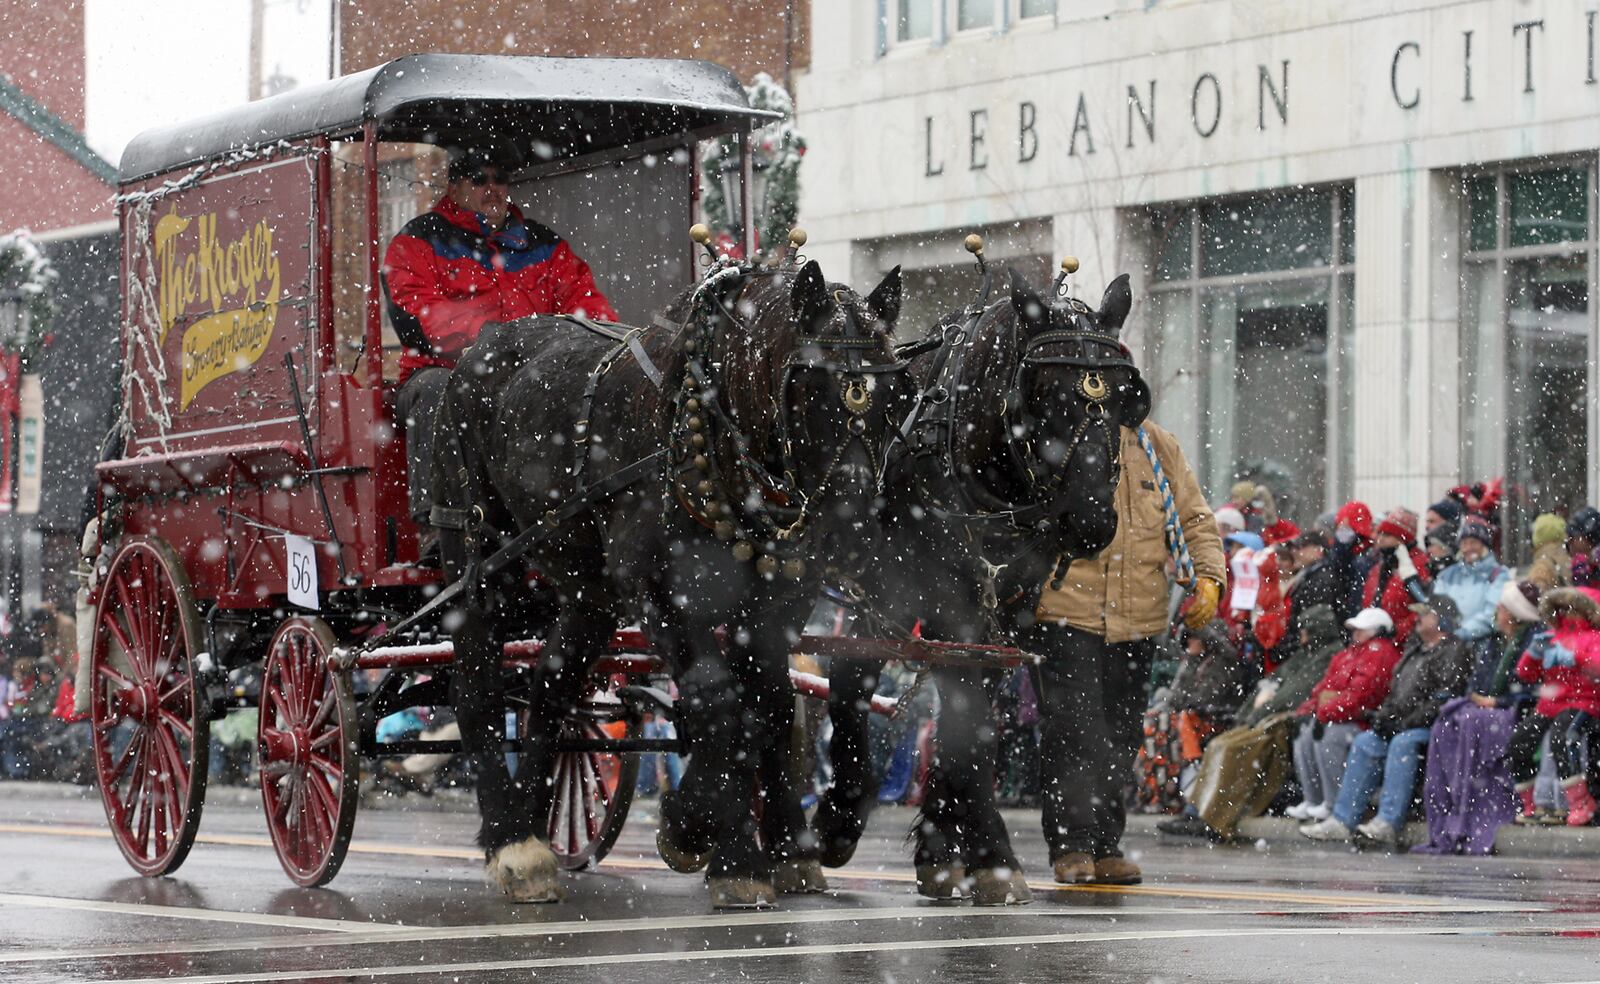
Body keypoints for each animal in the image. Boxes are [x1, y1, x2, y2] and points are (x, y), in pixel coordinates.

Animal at [435, 256, 915, 908]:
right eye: (810, 386)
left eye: (898, 391)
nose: (853, 532)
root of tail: (478, 347)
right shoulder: (662, 593)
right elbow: (719, 703)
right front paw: (710, 840)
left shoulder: (774, 604)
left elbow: (768, 707)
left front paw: (776, 849)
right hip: (482, 557)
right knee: (476, 677)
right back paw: (508, 840)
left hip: (589, 591)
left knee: (549, 686)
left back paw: (534, 831)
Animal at [812, 265, 1152, 902]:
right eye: (1048, 394)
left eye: (1126, 400)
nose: (1093, 523)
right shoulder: (942, 601)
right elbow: (965, 719)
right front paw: (993, 855)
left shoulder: (1005, 612)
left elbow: (970, 719)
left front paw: (944, 848)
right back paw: (829, 824)